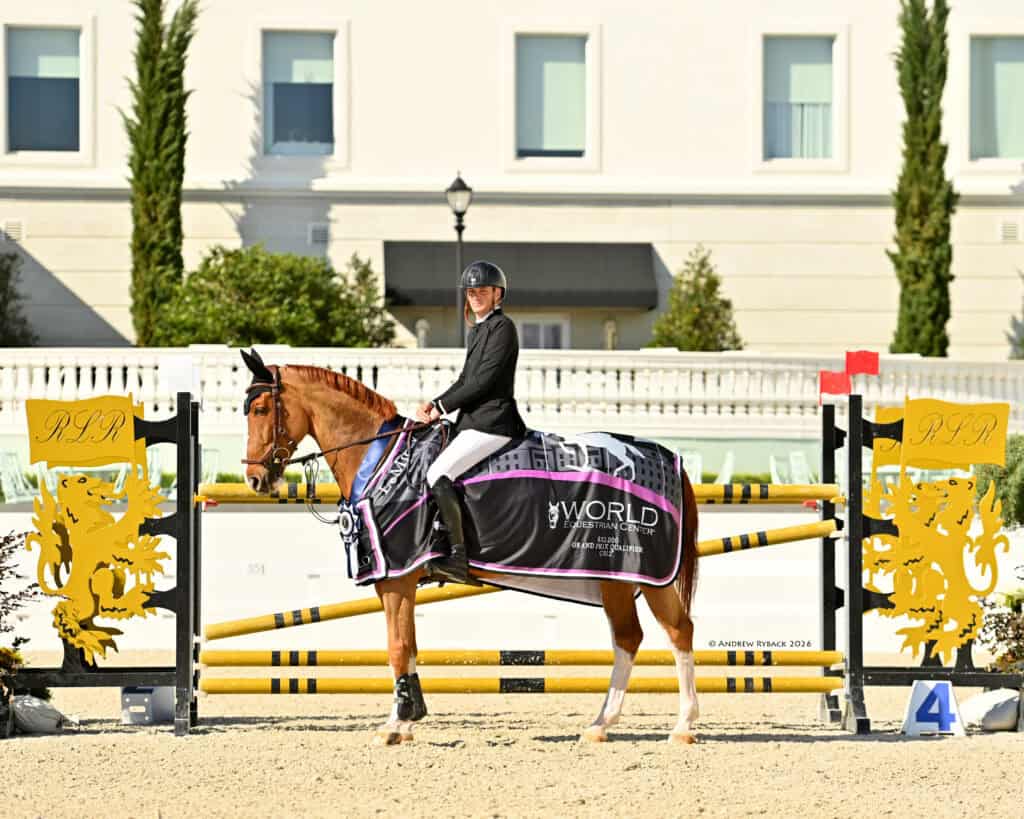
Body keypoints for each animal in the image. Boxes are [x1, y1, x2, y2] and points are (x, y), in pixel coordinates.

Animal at [239, 349, 700, 745]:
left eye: (260, 410)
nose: (256, 480)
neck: (382, 458)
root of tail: (668, 459)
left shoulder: (397, 577)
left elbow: (397, 648)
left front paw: (396, 726)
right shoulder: (398, 580)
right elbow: (408, 648)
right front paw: (407, 721)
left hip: (640, 573)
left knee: (668, 633)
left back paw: (681, 727)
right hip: (622, 577)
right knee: (640, 635)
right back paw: (604, 725)